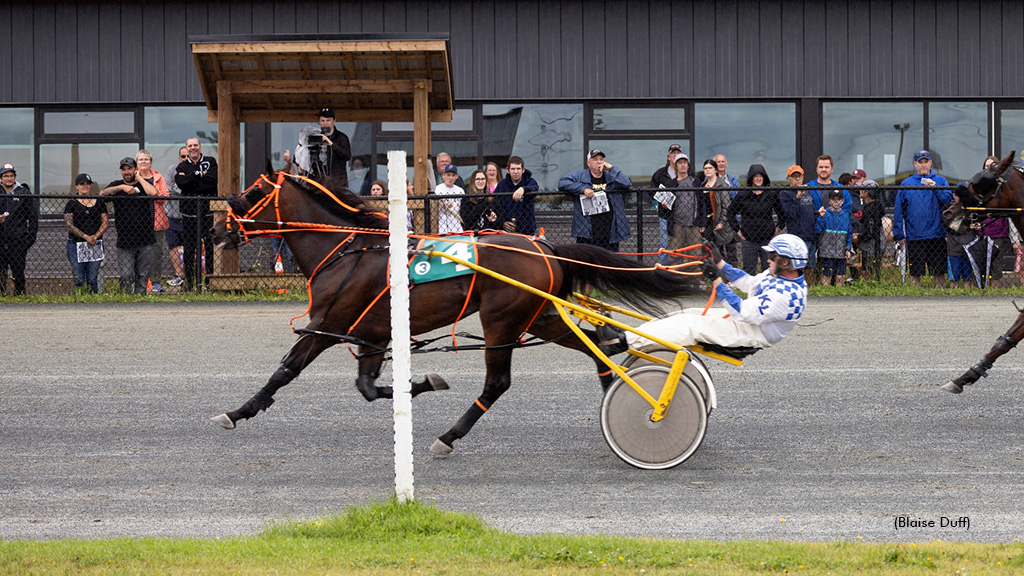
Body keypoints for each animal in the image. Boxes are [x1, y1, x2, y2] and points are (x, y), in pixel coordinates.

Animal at [207, 170, 704, 453]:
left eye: (253, 190)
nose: (216, 229)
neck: (348, 250)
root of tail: (544, 246)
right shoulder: (372, 333)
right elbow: (367, 387)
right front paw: (422, 382)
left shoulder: (329, 323)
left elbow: (285, 371)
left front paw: (237, 411)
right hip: (539, 315)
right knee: (599, 345)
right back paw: (618, 393)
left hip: (501, 320)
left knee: (499, 382)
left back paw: (450, 436)